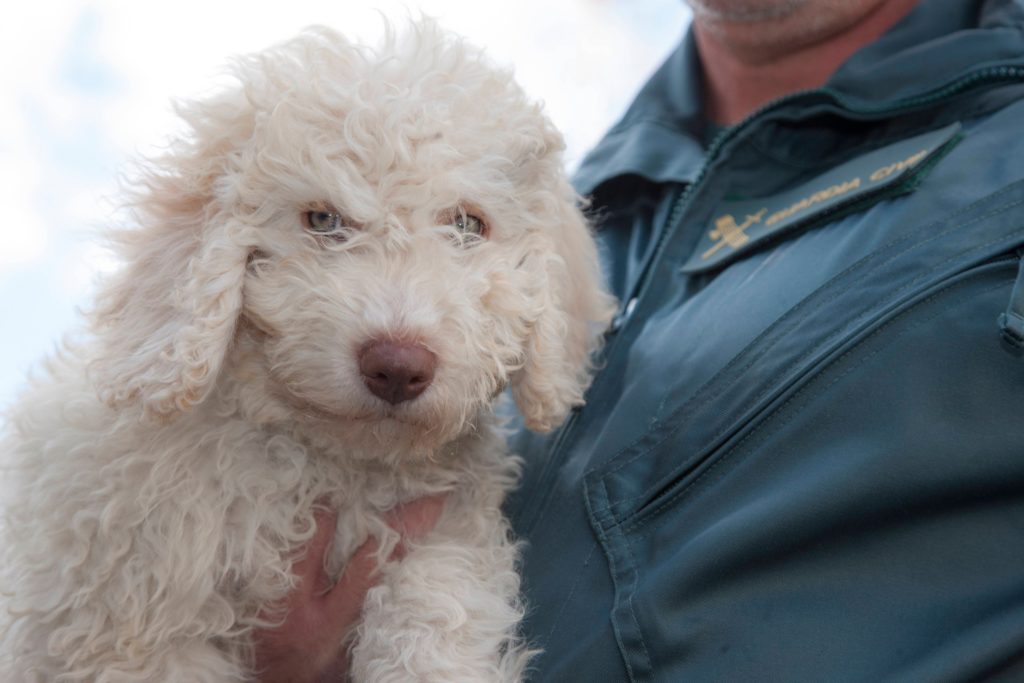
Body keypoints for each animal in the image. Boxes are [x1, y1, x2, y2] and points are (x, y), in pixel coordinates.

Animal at [0, 21, 614, 683]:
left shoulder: (440, 530)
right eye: (323, 220)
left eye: (468, 226)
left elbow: (437, 612)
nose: (397, 367)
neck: (327, 464)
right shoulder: (127, 626)